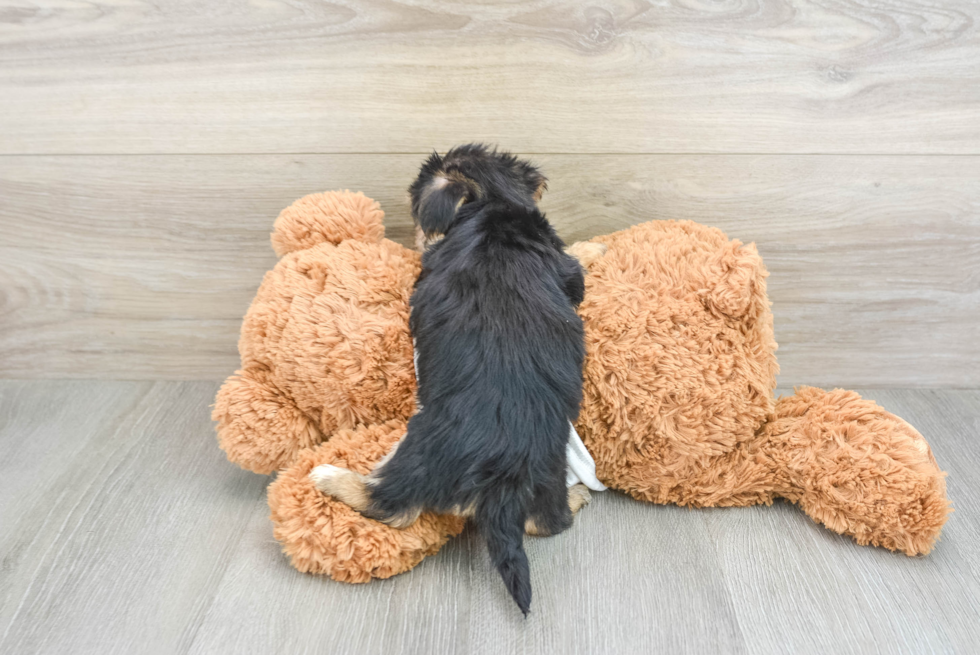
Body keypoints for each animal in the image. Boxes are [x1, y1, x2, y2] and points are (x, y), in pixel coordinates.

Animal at [312, 144, 588, 616]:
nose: (417, 237)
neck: (494, 203)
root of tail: (499, 475)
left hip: (419, 450)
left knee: (392, 507)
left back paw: (328, 476)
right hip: (548, 469)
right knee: (546, 522)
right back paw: (577, 497)